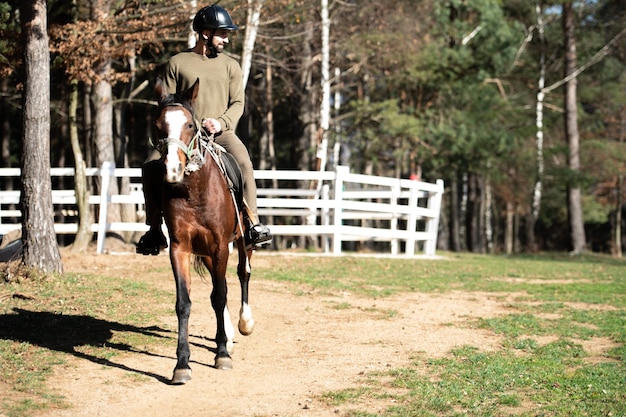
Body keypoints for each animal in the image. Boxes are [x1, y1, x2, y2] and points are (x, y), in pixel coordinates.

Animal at [147, 78, 252, 384]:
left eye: (190, 124)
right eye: (157, 124)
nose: (172, 169)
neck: (193, 191)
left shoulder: (220, 245)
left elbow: (219, 296)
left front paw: (222, 355)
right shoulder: (180, 248)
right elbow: (184, 302)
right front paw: (182, 364)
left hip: (241, 241)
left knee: (242, 274)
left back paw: (244, 323)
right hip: (205, 252)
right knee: (224, 283)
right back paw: (227, 334)